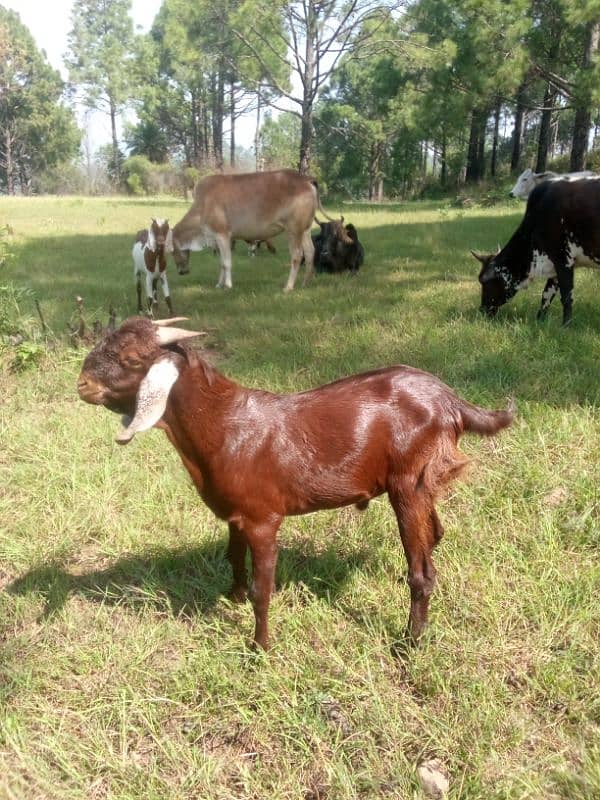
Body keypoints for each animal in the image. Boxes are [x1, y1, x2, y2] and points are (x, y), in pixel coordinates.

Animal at [77, 318, 512, 648]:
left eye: (132, 359)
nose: (82, 385)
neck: (222, 424)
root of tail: (450, 400)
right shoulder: (236, 513)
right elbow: (234, 557)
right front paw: (232, 599)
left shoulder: (263, 518)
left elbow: (263, 588)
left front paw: (260, 648)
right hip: (422, 481)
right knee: (435, 532)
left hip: (407, 482)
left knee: (422, 572)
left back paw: (409, 641)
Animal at [171, 169, 336, 290]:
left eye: (171, 251)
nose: (181, 271)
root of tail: (306, 179)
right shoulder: (218, 239)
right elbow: (221, 263)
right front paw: (218, 284)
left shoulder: (222, 234)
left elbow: (226, 262)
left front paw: (227, 285)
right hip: (305, 230)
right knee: (310, 252)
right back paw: (305, 283)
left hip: (293, 230)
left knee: (297, 255)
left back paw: (288, 287)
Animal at [474, 177, 600, 324]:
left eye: (484, 281)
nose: (482, 310)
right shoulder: (554, 265)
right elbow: (546, 295)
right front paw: (540, 321)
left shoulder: (563, 259)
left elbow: (566, 296)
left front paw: (566, 325)